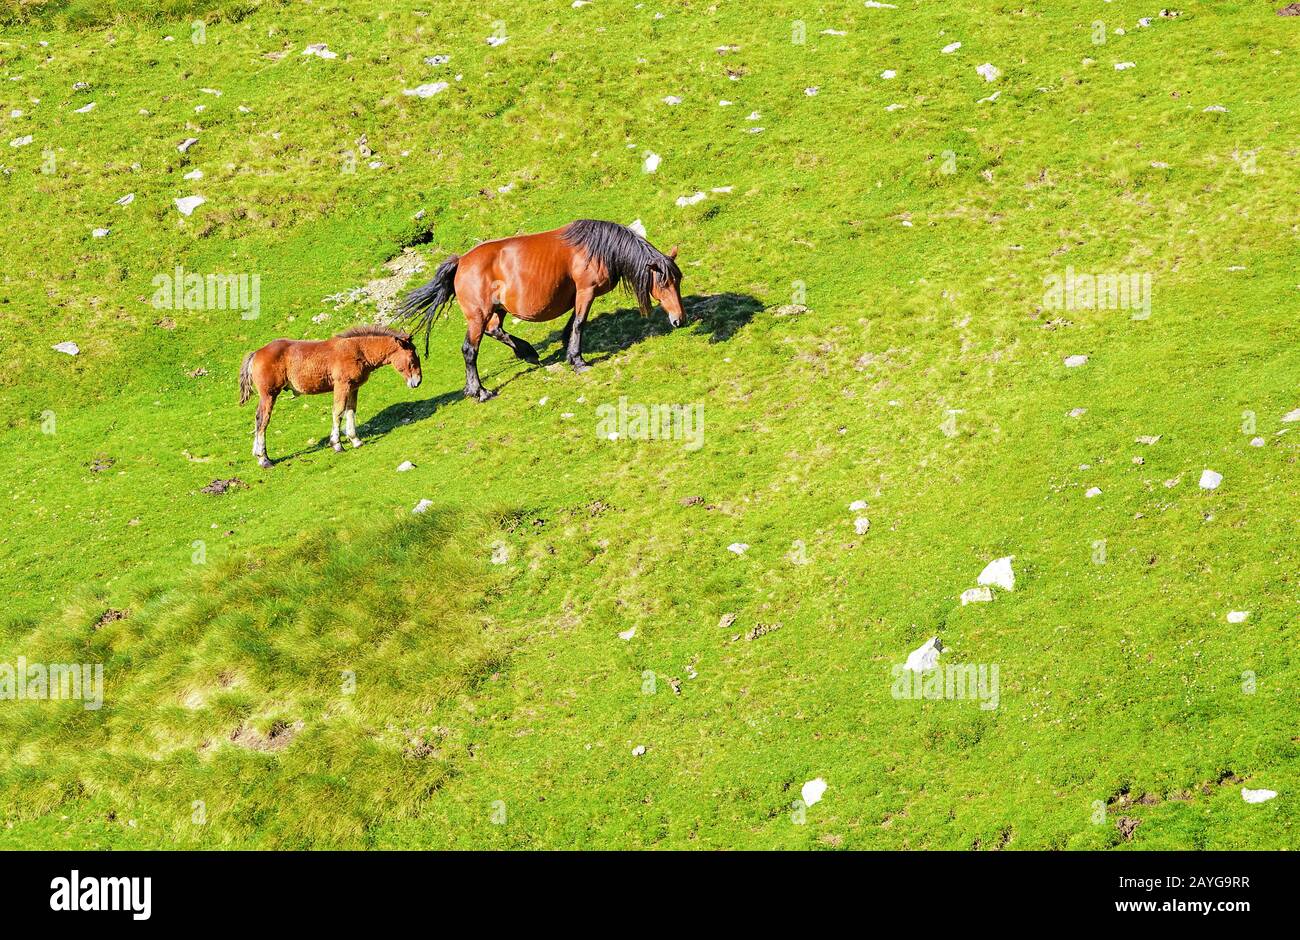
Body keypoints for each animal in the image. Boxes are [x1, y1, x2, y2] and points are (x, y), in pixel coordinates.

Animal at [238, 325, 422, 468]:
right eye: (412, 359)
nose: (418, 381)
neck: (358, 350)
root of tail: (256, 353)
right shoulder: (341, 385)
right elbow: (338, 412)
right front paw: (337, 445)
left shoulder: (353, 388)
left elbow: (350, 411)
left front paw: (355, 440)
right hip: (269, 394)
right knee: (262, 420)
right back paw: (264, 459)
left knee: (258, 419)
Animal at [398, 219, 685, 401]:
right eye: (664, 283)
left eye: (678, 280)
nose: (679, 320)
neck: (597, 248)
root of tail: (461, 262)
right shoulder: (586, 291)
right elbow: (579, 323)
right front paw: (578, 361)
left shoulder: (577, 295)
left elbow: (572, 323)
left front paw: (567, 351)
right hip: (478, 315)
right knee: (470, 350)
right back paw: (480, 391)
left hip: (497, 309)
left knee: (495, 329)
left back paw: (527, 352)